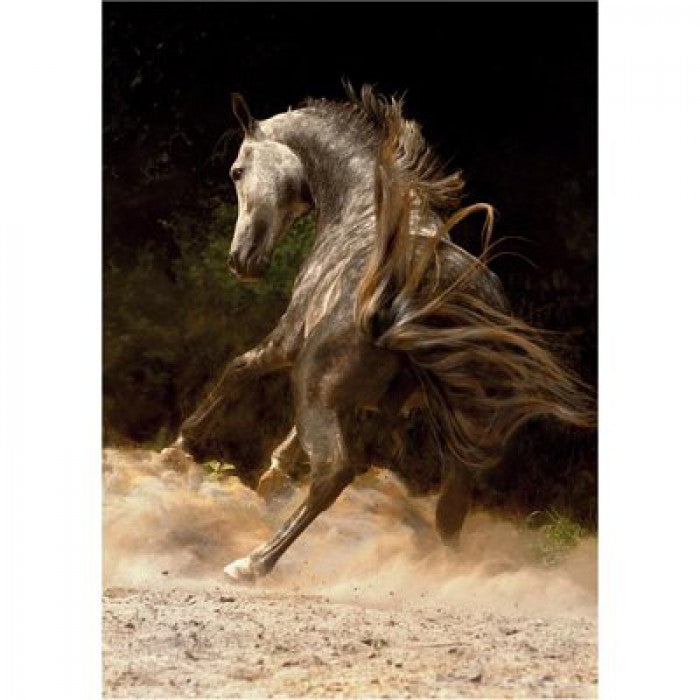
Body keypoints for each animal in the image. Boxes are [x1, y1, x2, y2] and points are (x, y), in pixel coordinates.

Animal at [168, 85, 595, 582]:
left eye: (237, 170)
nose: (242, 261)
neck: (363, 210)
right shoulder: (376, 404)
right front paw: (272, 474)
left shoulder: (289, 343)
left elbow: (235, 371)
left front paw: (178, 449)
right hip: (463, 420)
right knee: (450, 508)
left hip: (314, 390)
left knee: (333, 472)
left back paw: (253, 563)